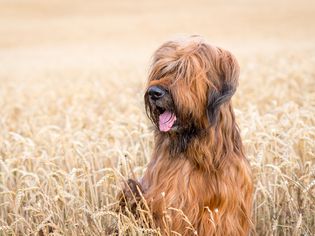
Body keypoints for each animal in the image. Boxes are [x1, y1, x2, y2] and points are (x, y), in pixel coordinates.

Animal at [122, 35, 253, 236]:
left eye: (185, 71)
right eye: (162, 70)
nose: (154, 93)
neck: (204, 156)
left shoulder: (227, 211)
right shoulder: (172, 205)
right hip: (131, 189)